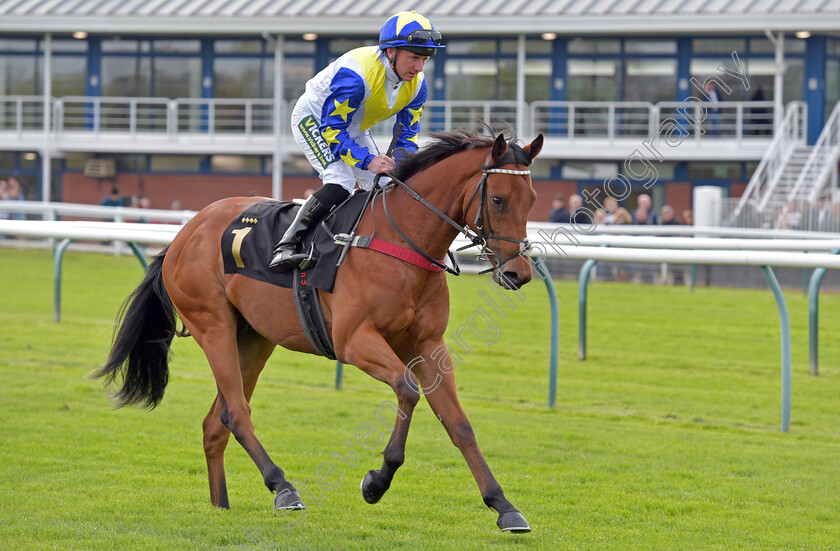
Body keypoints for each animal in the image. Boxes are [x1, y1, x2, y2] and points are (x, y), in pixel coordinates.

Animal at [97, 129, 544, 536]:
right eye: (498, 199)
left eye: (532, 199)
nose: (519, 273)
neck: (399, 243)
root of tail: (185, 232)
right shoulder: (354, 341)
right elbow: (406, 389)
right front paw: (376, 481)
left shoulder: (429, 345)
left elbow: (459, 424)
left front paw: (504, 506)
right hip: (213, 326)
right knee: (236, 411)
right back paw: (283, 488)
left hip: (254, 339)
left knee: (215, 422)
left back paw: (220, 504)